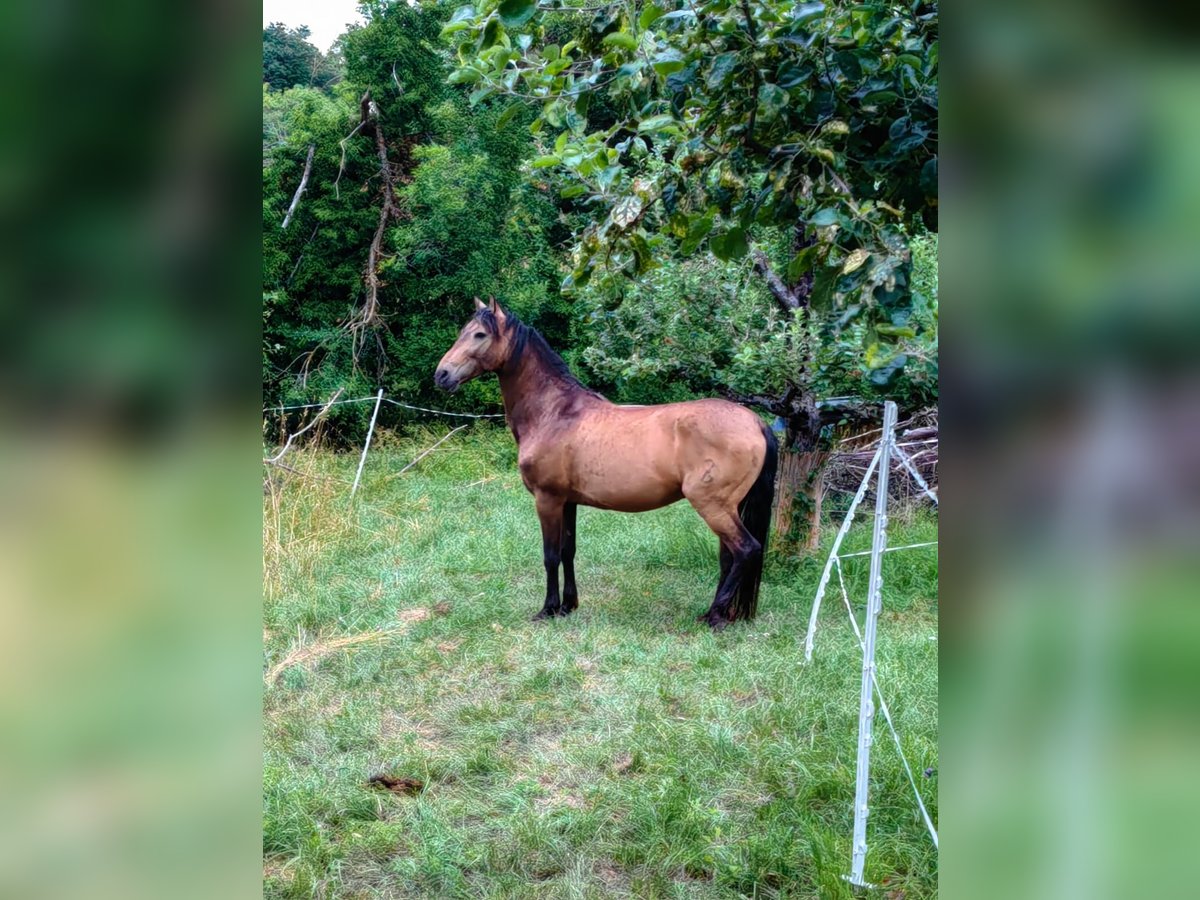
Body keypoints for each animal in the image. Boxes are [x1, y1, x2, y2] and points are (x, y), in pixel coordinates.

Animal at [434, 300, 777, 628]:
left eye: (480, 334)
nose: (442, 375)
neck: (555, 413)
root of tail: (756, 422)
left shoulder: (548, 499)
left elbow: (550, 556)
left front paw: (548, 609)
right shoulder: (568, 502)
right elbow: (568, 551)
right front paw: (567, 607)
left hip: (712, 505)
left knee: (745, 550)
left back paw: (715, 616)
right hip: (728, 507)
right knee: (729, 558)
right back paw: (716, 614)